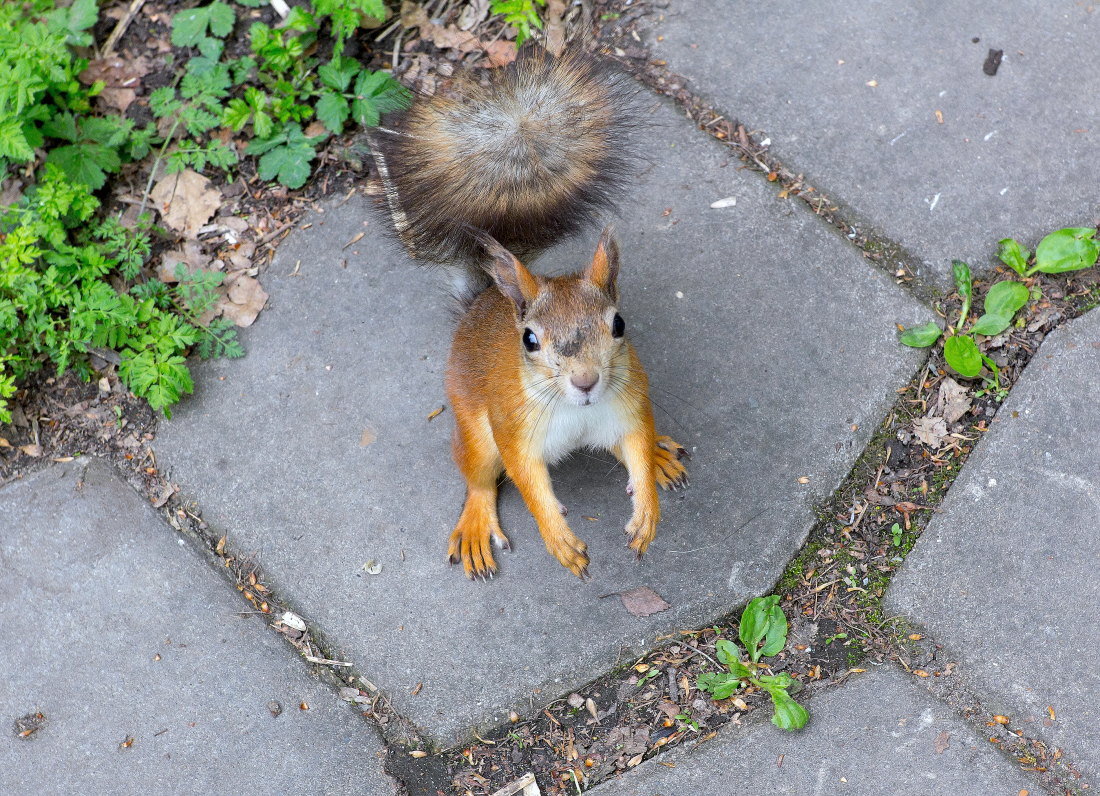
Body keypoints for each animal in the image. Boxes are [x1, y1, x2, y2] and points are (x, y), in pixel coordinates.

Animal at [369, 48, 686, 580]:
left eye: (619, 324)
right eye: (530, 340)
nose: (585, 381)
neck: (577, 413)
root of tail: (481, 303)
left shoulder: (630, 407)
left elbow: (635, 446)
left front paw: (647, 511)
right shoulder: (514, 430)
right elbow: (527, 481)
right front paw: (558, 538)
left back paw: (660, 456)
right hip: (475, 429)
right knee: (478, 477)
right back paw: (476, 523)